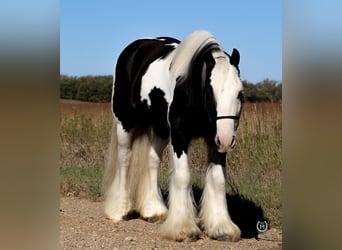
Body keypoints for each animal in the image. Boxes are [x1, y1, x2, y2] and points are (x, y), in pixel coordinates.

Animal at [103, 30, 243, 241]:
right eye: (210, 92)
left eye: (239, 93)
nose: (227, 140)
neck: (191, 87)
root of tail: (135, 48)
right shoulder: (179, 136)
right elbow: (183, 176)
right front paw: (183, 228)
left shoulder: (214, 139)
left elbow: (218, 180)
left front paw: (221, 227)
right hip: (124, 124)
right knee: (124, 160)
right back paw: (119, 210)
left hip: (160, 129)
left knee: (152, 161)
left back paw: (153, 210)